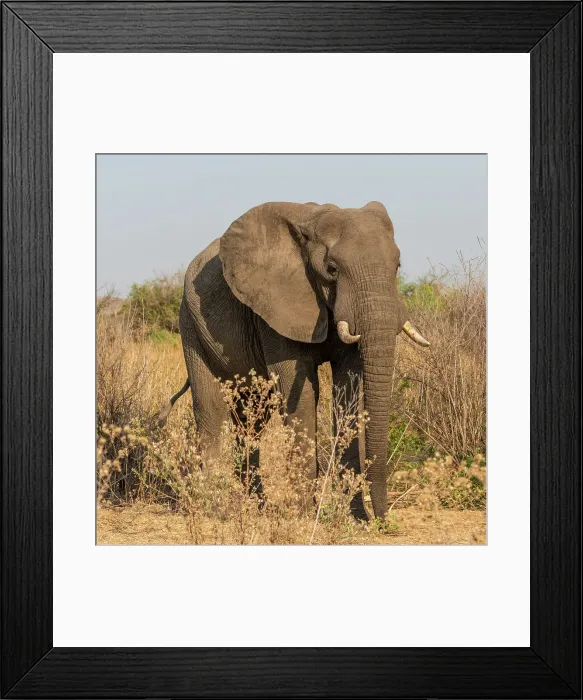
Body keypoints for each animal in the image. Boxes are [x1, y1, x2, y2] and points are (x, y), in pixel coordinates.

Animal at [159, 201, 429, 520]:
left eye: (397, 266)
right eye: (332, 270)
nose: (382, 520)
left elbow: (347, 392)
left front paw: (354, 517)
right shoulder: (274, 305)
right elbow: (300, 395)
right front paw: (303, 515)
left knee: (252, 418)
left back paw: (257, 506)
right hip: (190, 323)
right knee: (211, 409)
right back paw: (214, 508)